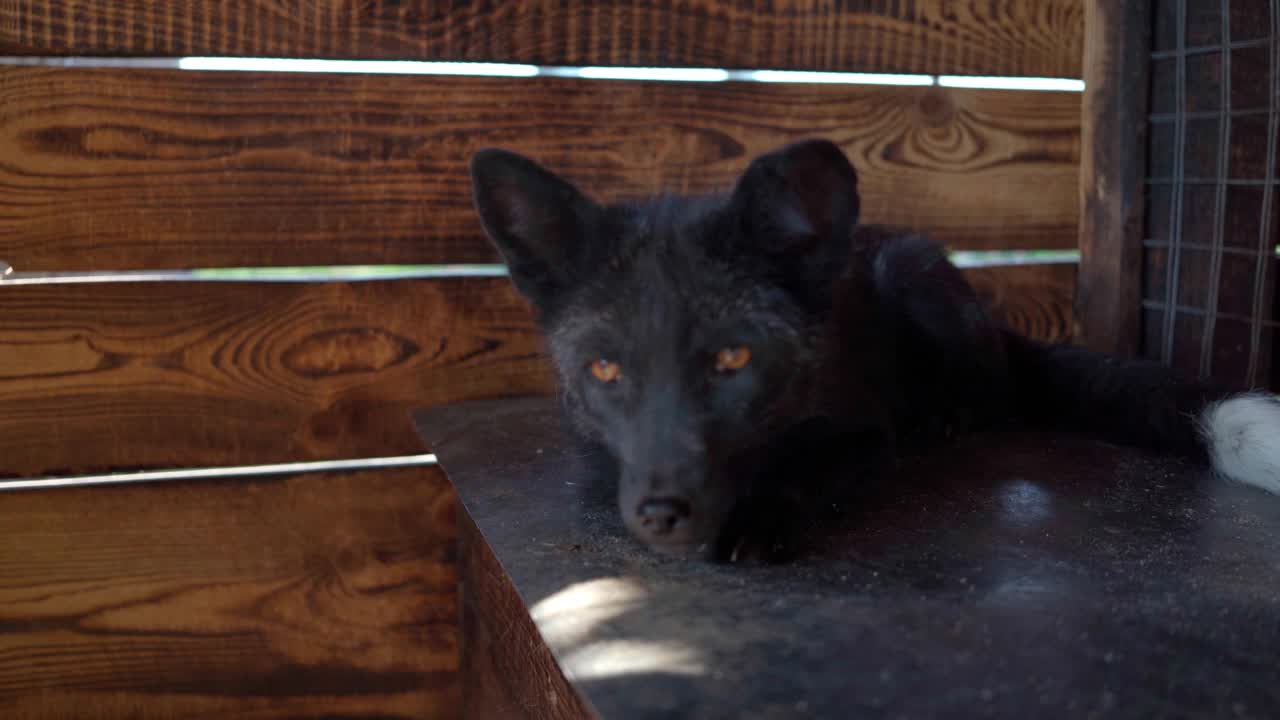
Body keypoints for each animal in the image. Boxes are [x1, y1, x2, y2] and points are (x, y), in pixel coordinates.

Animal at [468, 135, 1280, 561]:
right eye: (605, 368)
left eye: (734, 359)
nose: (663, 514)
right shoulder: (597, 457)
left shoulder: (863, 432)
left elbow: (809, 470)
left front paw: (762, 517)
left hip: (915, 274)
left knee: (994, 399)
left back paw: (943, 419)